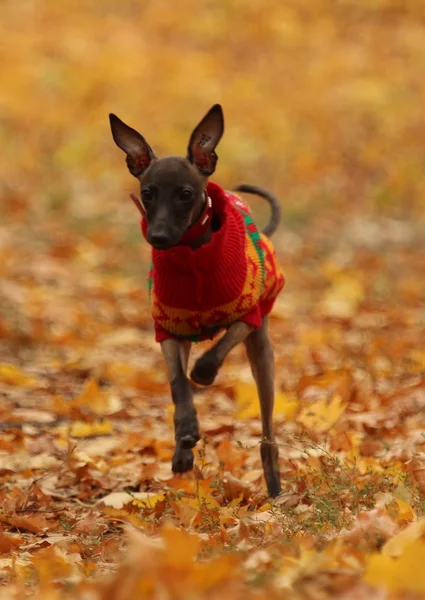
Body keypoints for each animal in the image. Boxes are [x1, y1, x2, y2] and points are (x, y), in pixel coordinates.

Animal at [107, 104, 284, 496]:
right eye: (148, 193)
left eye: (186, 193)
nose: (158, 237)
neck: (191, 255)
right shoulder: (169, 331)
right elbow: (178, 384)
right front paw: (186, 430)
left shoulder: (247, 316)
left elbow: (214, 354)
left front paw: (204, 372)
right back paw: (182, 451)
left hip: (262, 352)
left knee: (267, 431)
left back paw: (275, 484)